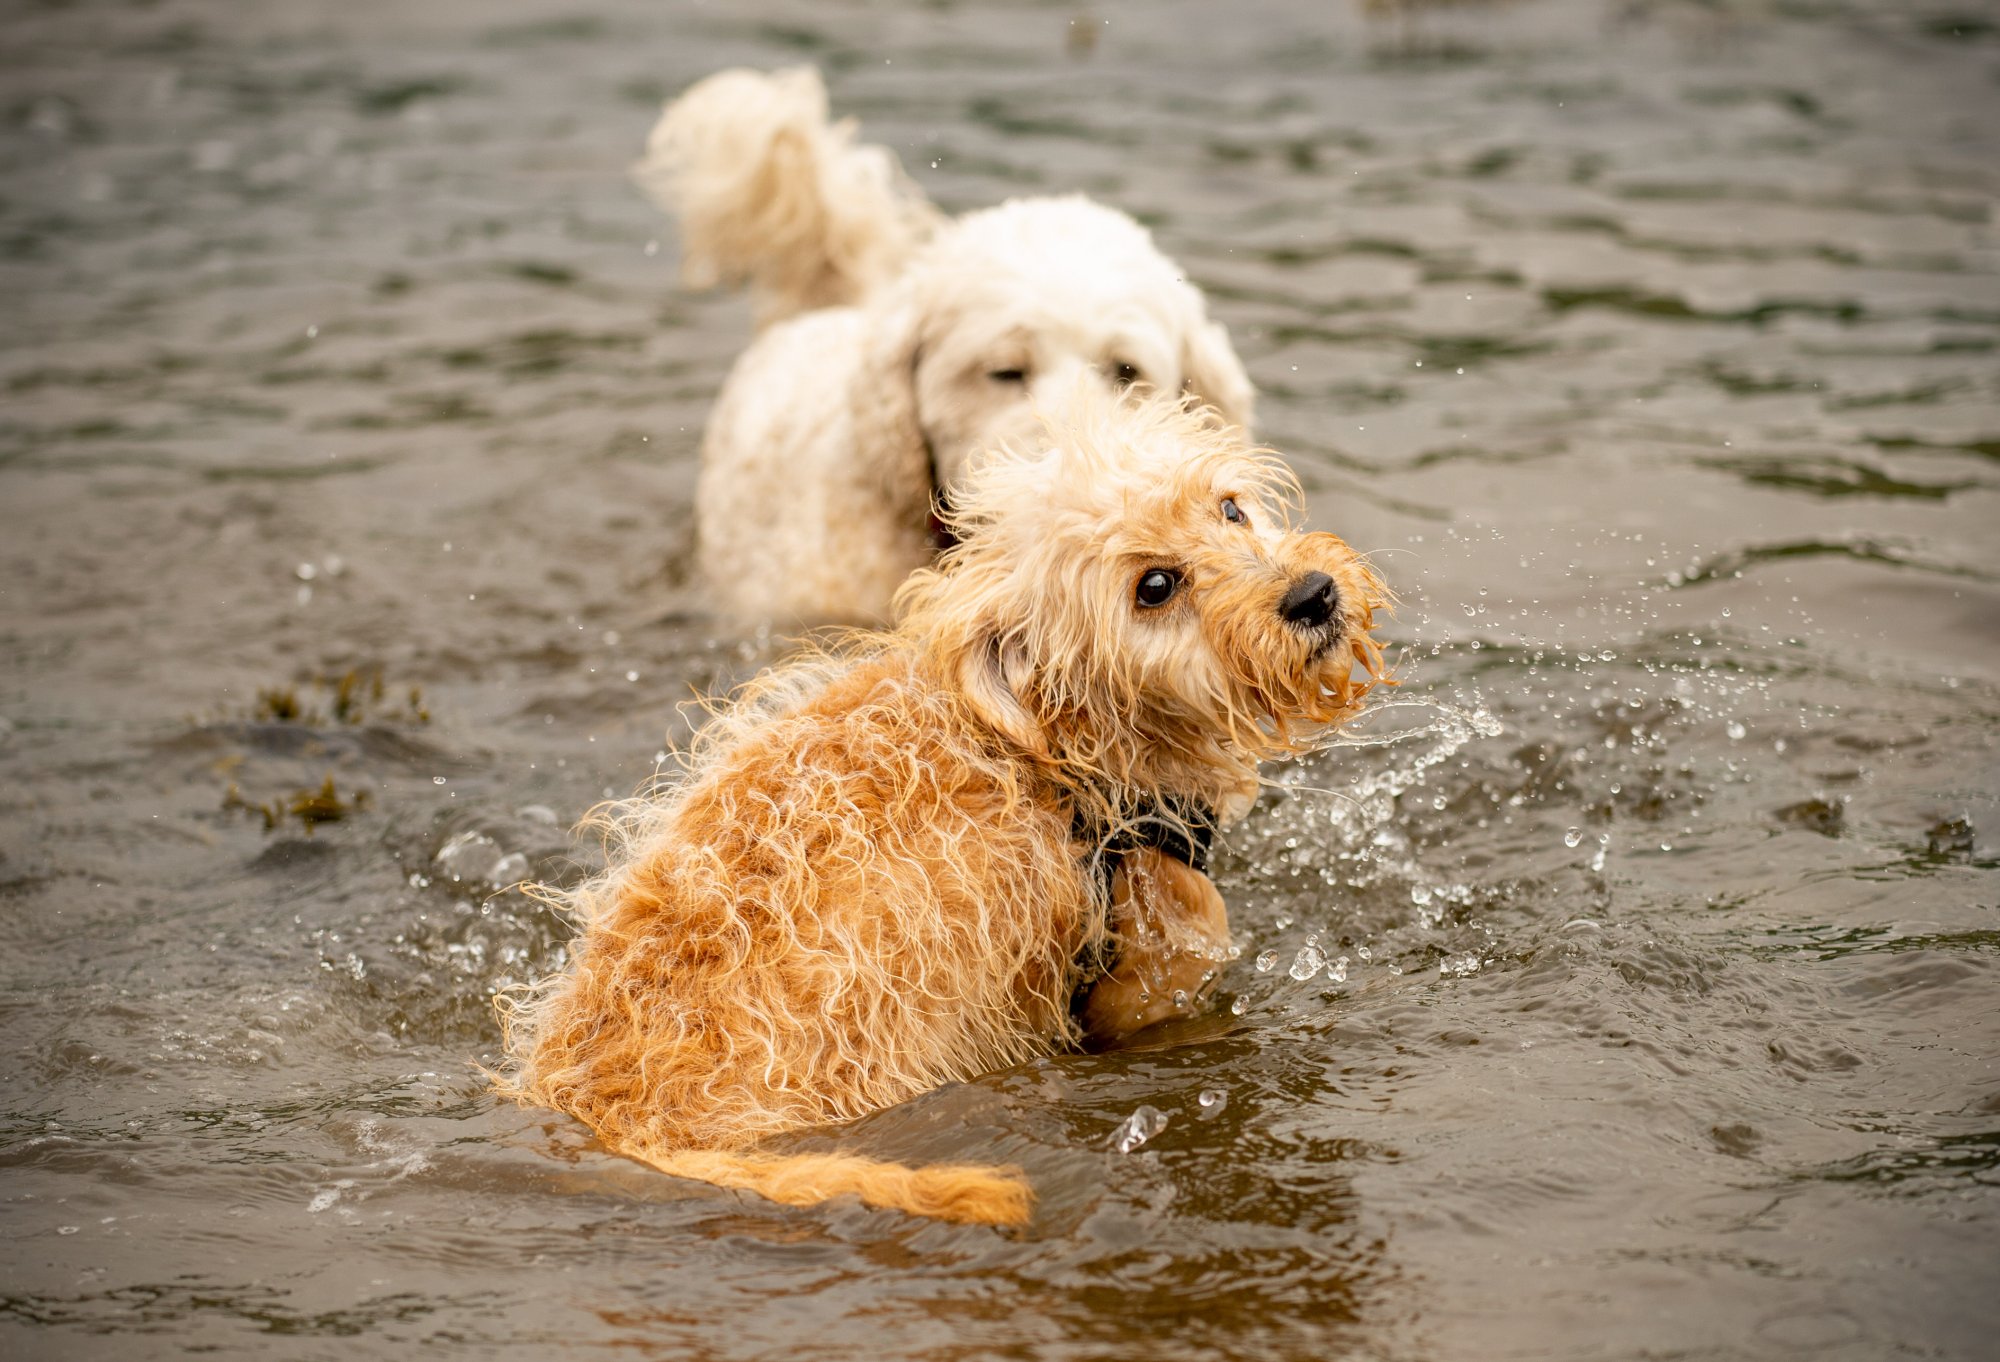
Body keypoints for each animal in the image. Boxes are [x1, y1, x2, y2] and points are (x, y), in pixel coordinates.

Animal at [492, 390, 1384, 1224]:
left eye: (1228, 508)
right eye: (1154, 587)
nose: (1312, 594)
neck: (1047, 755)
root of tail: (624, 1120)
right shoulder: (1167, 964)